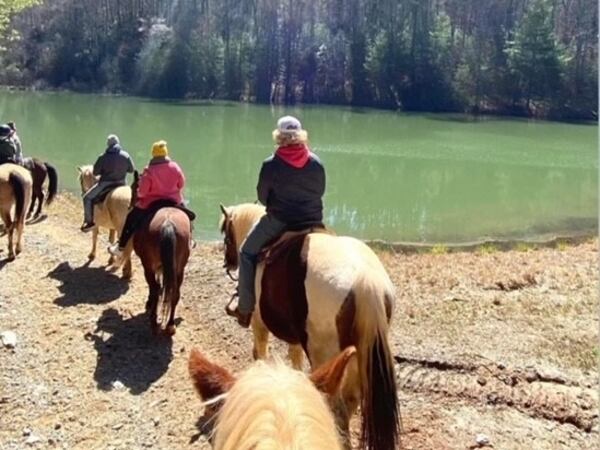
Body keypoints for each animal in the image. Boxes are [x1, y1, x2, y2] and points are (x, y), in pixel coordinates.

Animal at [120, 171, 193, 336]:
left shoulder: (152, 265)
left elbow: (156, 286)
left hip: (148, 264)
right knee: (174, 292)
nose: (130, 204)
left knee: (154, 288)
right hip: (179, 267)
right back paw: (170, 324)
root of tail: (168, 223)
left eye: (134, 187)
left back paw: (153, 321)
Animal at [219, 203, 398, 450]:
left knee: (336, 404)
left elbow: (260, 353)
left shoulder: (258, 323)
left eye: (226, 235)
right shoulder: (296, 337)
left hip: (325, 354)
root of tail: (365, 280)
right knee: (351, 400)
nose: (228, 263)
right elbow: (295, 360)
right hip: (357, 354)